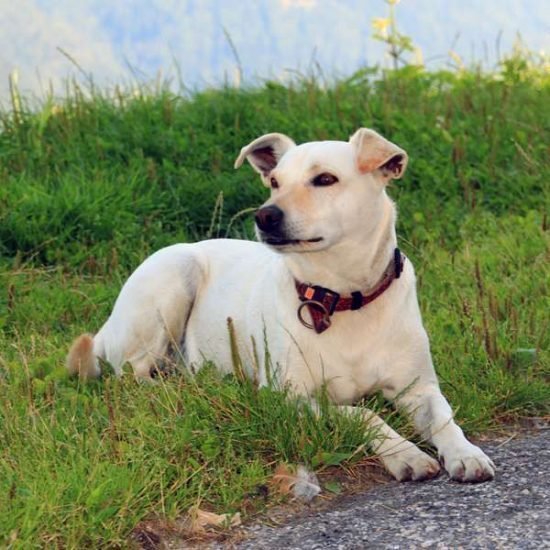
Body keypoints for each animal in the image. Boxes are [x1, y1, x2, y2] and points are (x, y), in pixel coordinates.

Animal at [68, 128, 496, 484]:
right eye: (274, 182)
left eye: (325, 179)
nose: (264, 214)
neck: (341, 297)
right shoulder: (289, 396)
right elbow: (362, 413)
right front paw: (405, 453)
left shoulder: (419, 387)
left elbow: (444, 417)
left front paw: (465, 453)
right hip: (172, 278)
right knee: (132, 375)